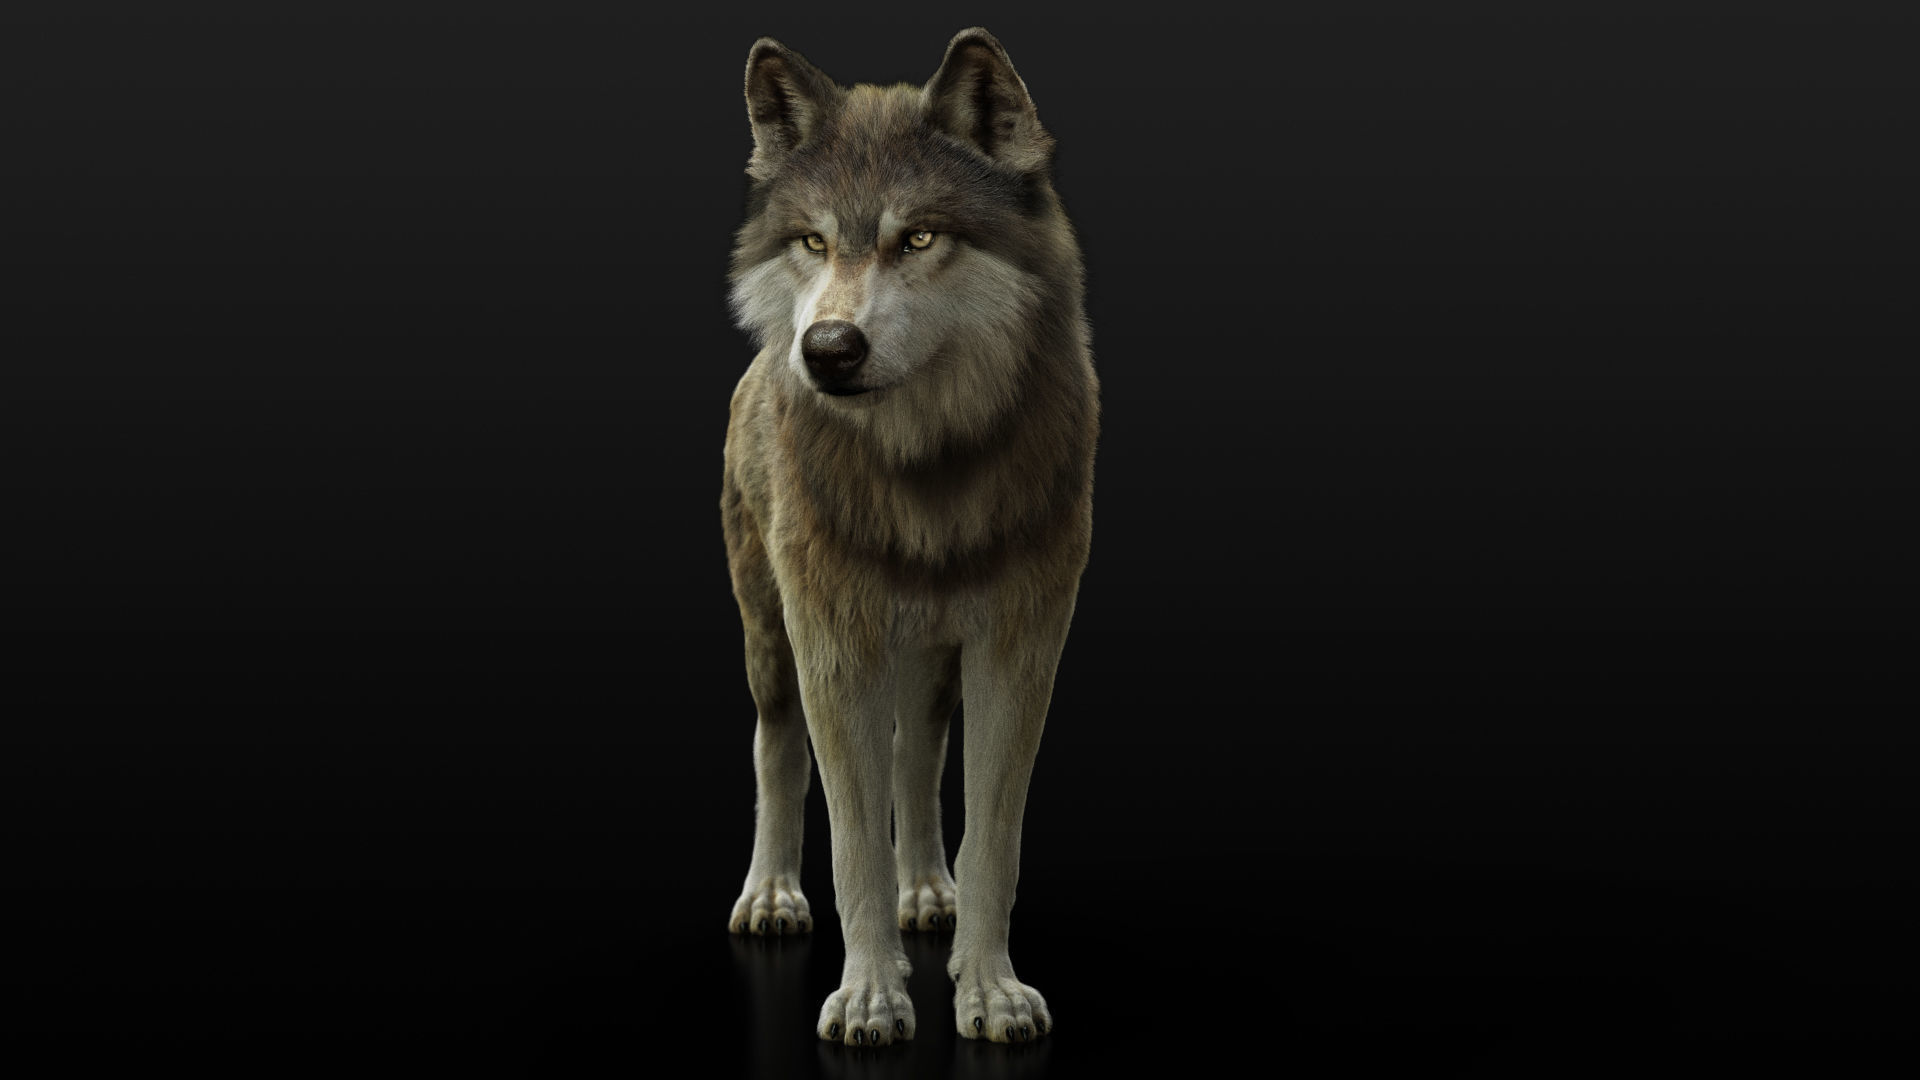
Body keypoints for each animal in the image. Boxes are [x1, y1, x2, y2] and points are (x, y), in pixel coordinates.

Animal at [719, 28, 1097, 1047]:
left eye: (918, 237)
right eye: (813, 241)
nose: (827, 349)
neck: (925, 480)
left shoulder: (1021, 643)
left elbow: (993, 835)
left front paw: (990, 990)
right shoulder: (833, 646)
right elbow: (852, 843)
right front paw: (869, 999)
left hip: (930, 657)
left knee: (916, 757)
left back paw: (928, 889)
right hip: (770, 636)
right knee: (775, 748)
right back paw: (770, 896)